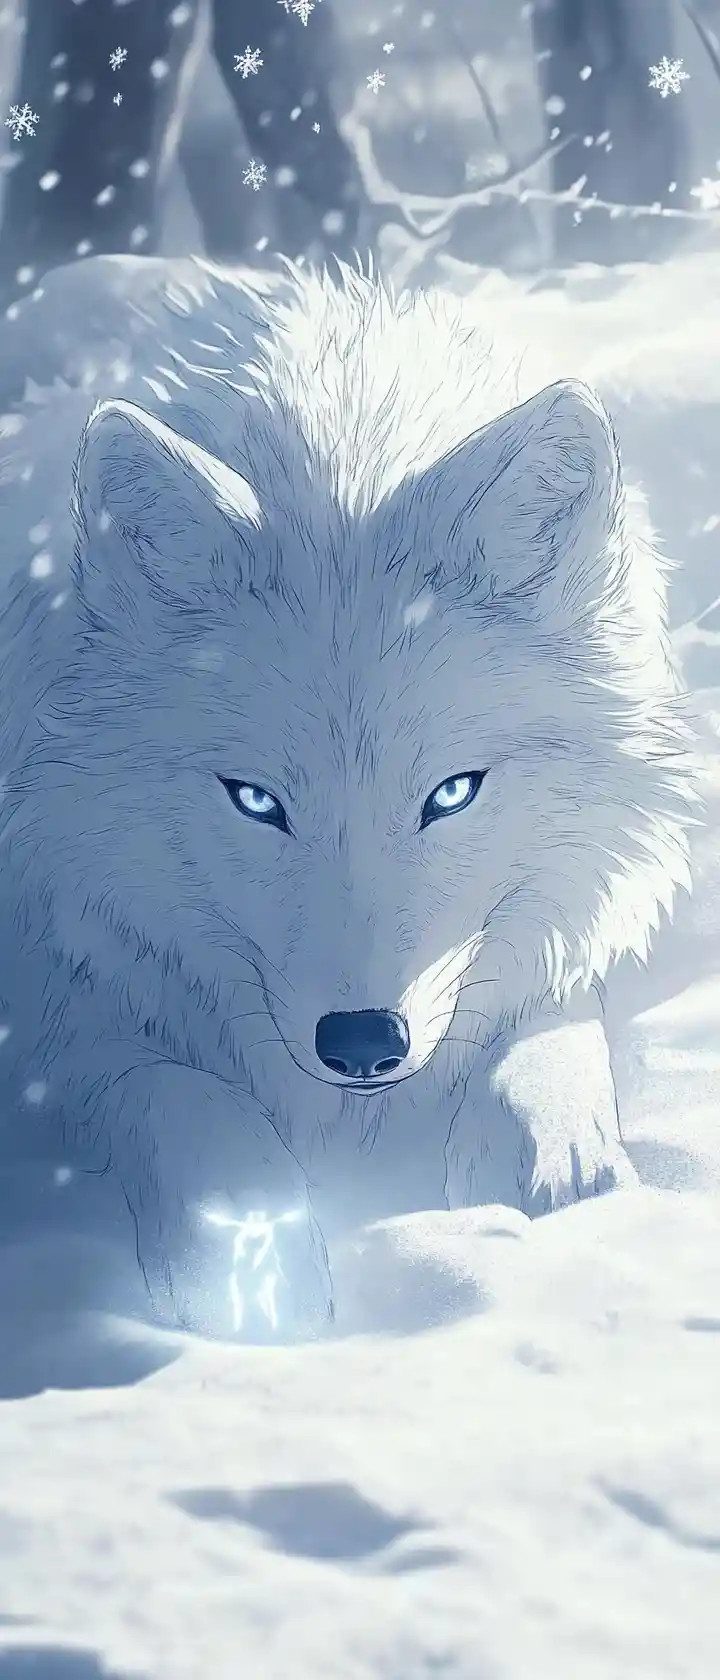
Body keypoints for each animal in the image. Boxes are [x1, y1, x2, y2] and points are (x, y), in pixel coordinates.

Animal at [0, 255, 696, 1335]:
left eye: (452, 794)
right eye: (255, 802)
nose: (364, 1043)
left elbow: (552, 1035)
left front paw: (563, 1189)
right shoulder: (63, 1001)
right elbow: (179, 1096)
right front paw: (254, 1267)